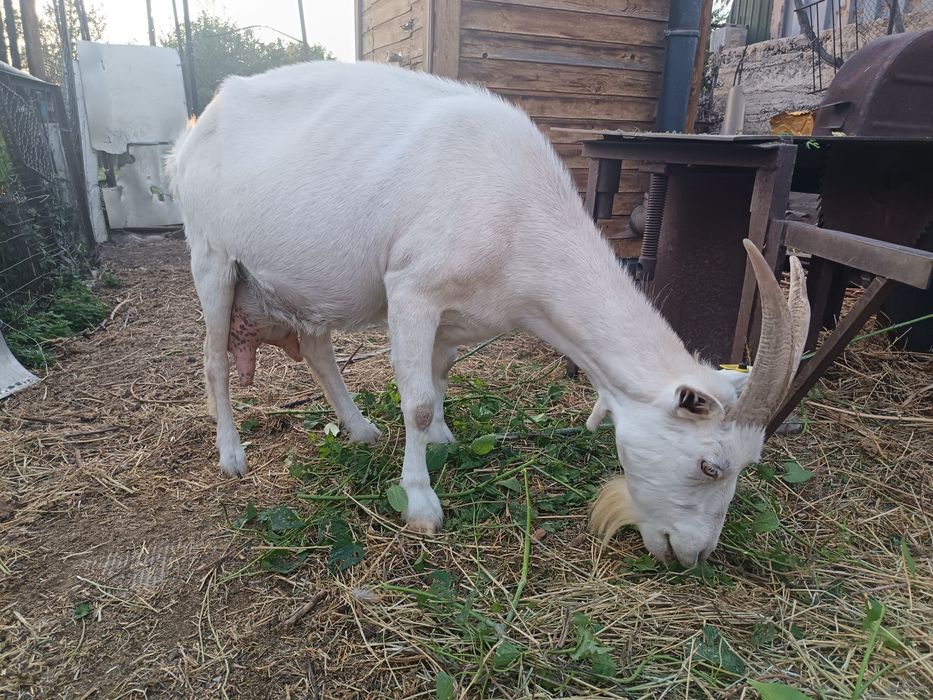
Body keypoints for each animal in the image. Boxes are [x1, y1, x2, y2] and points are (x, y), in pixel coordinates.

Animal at [166, 61, 809, 567]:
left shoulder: (460, 313)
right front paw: (422, 504)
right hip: (212, 256)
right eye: (711, 466)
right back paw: (231, 455)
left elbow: (440, 378)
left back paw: (361, 429)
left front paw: (444, 441)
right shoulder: (411, 289)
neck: (519, 214)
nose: (696, 554)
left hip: (302, 286)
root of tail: (192, 134)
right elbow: (419, 402)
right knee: (213, 361)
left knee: (319, 350)